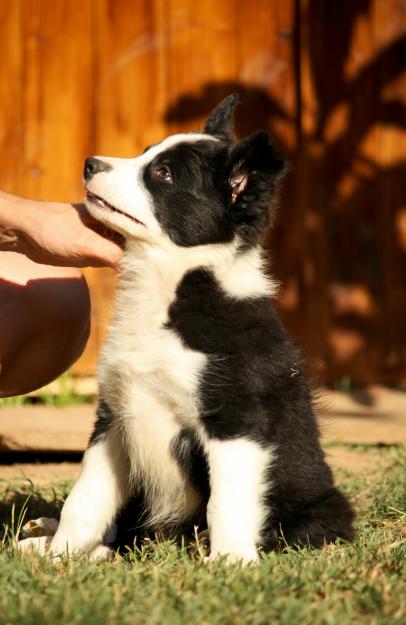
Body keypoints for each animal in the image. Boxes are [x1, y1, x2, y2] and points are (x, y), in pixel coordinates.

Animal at [50, 96, 356, 560]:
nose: (89, 164)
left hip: (317, 509)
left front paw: (230, 562)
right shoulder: (115, 416)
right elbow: (85, 498)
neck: (170, 288)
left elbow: (225, 502)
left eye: (163, 174)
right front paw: (58, 556)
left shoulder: (235, 419)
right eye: (145, 152)